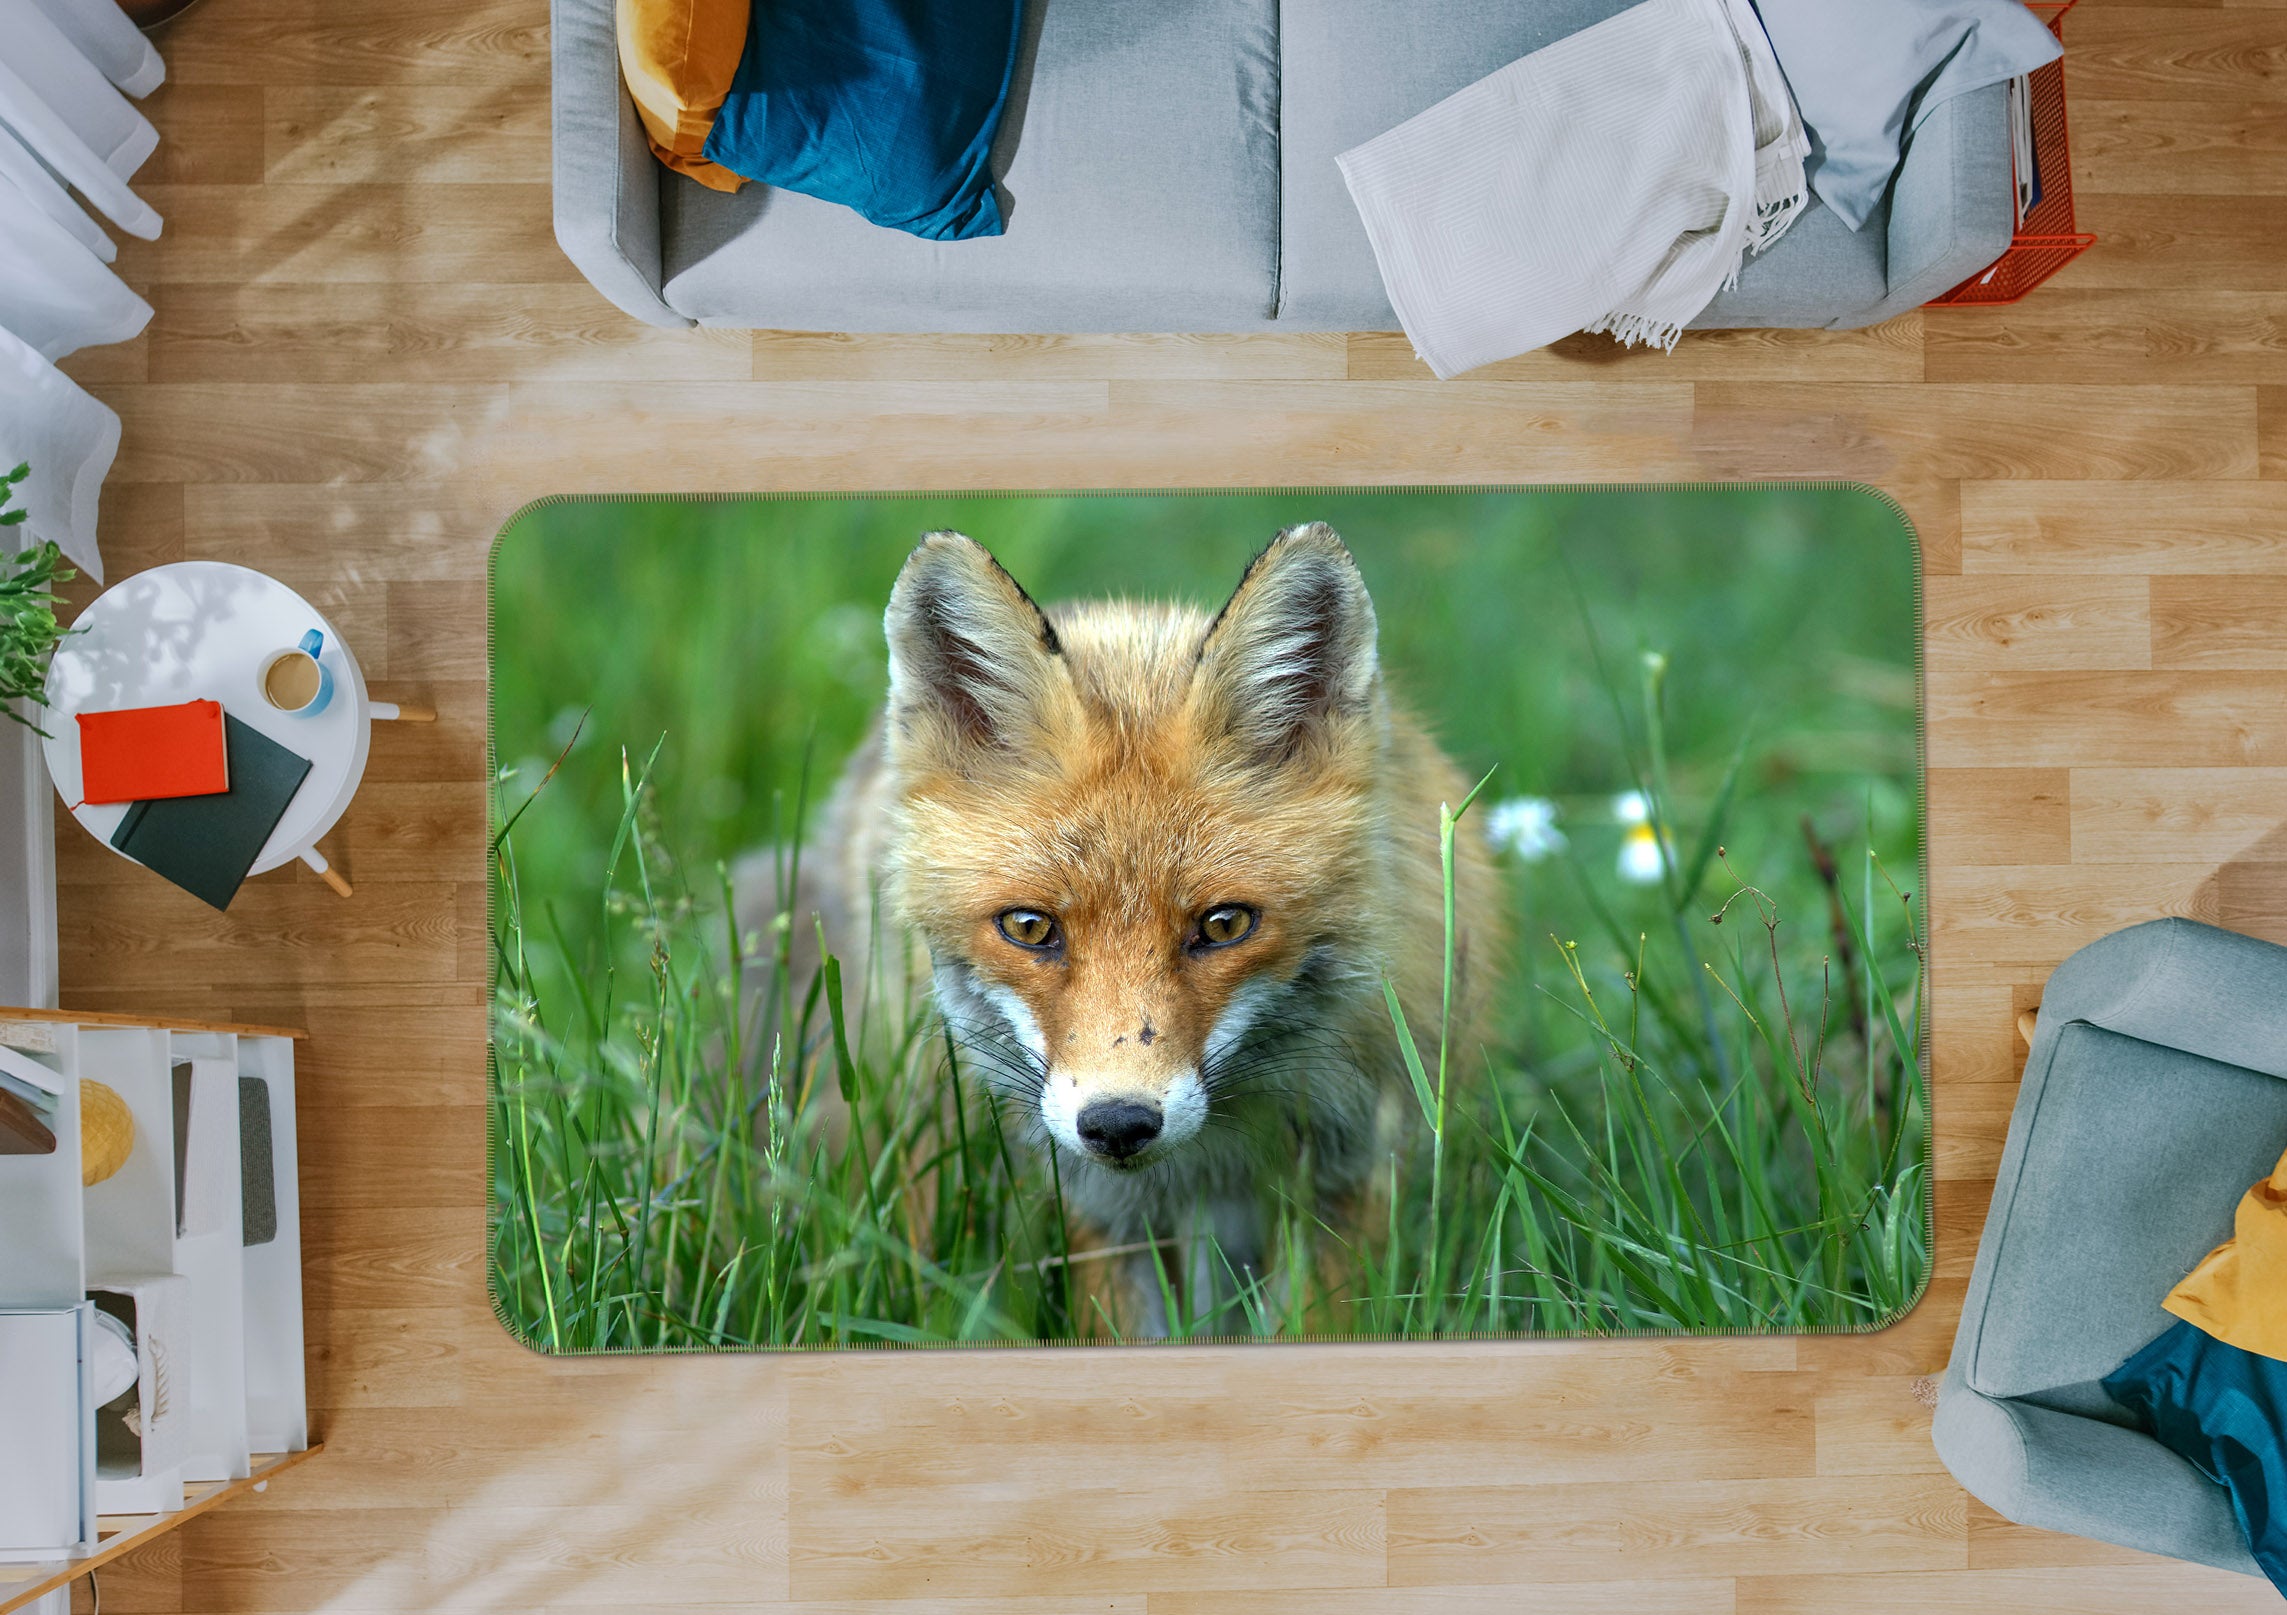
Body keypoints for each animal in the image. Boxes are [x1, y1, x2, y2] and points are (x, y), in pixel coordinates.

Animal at [758, 522, 1504, 1332]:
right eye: (1028, 927)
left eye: (1224, 924)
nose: (1118, 1124)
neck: (1213, 1160)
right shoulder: (1090, 1202)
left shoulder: (1354, 1169)